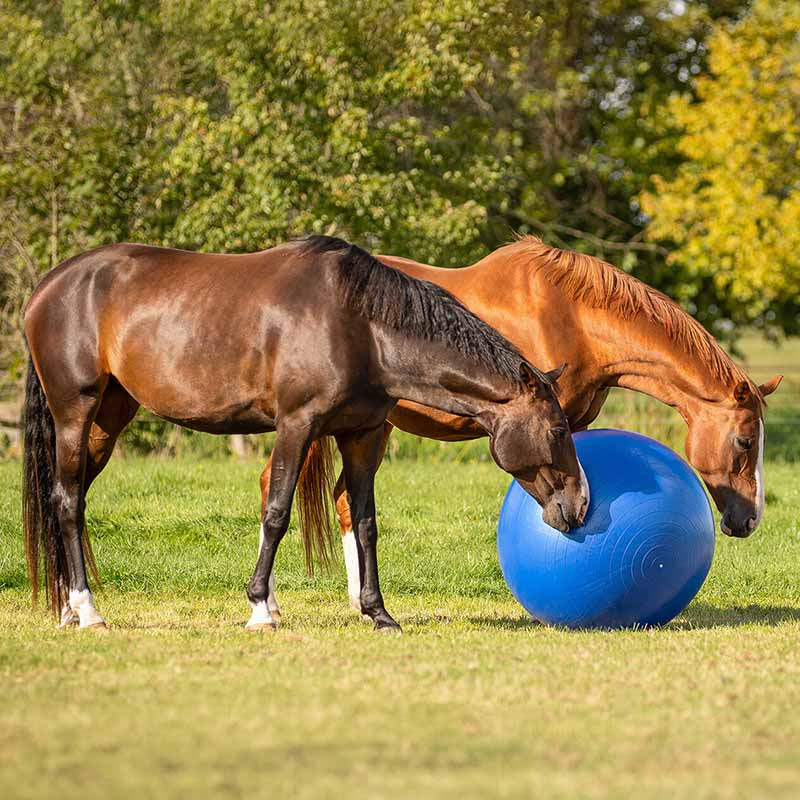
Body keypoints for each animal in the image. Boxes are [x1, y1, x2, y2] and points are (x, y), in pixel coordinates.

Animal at [22, 234, 589, 632]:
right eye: (558, 428)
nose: (580, 505)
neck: (361, 328)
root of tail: (46, 289)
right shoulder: (296, 426)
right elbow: (276, 513)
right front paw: (259, 609)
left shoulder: (362, 436)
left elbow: (365, 522)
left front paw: (379, 613)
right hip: (75, 414)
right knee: (68, 502)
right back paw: (88, 611)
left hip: (108, 419)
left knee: (68, 499)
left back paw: (68, 608)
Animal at [262, 236, 782, 614]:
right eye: (744, 440)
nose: (750, 520)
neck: (573, 317)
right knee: (282, 486)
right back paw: (273, 605)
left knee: (342, 499)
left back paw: (358, 603)